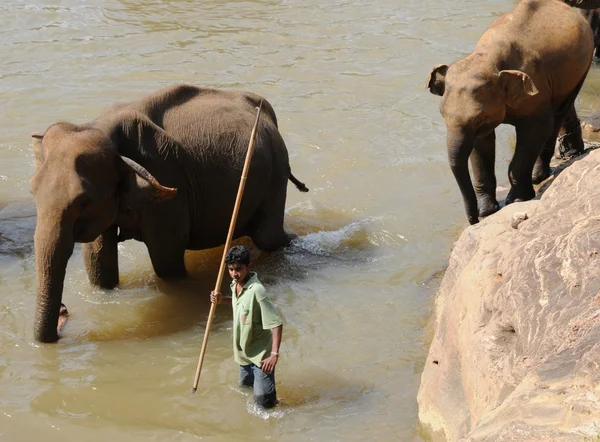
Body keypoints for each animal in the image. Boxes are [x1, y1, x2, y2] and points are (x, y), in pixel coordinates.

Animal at [28, 84, 310, 344]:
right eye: (32, 191)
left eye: (83, 202)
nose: (64, 313)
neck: (100, 127)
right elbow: (98, 264)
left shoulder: (170, 184)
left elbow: (166, 261)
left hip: (276, 168)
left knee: (269, 238)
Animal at [424, 0, 592, 224]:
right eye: (442, 115)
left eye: (479, 118)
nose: (474, 220)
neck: (488, 58)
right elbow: (482, 144)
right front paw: (488, 211)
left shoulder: (536, 89)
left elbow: (537, 130)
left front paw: (518, 199)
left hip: (582, 69)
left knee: (558, 114)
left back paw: (539, 176)